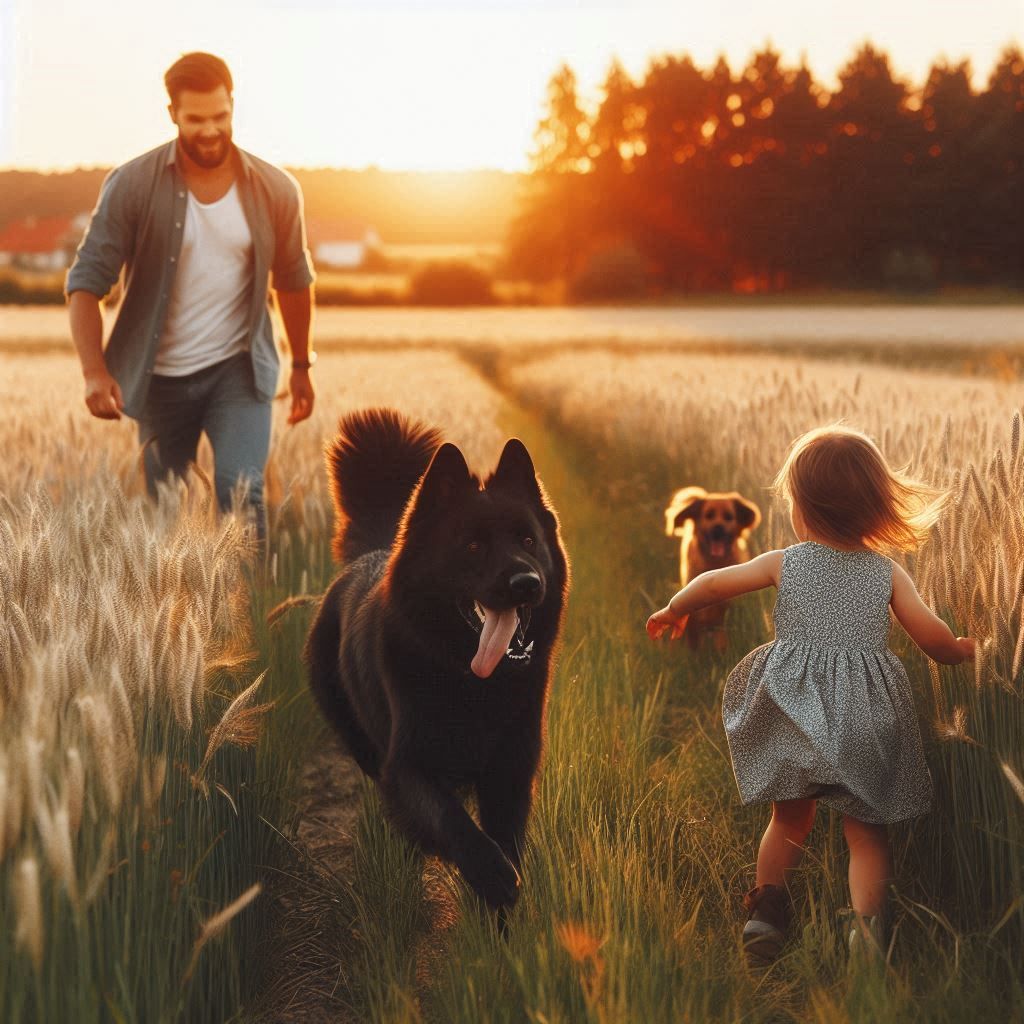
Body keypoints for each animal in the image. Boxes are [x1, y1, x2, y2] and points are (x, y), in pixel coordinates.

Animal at [307, 407, 573, 913]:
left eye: (528, 541)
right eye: (472, 546)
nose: (526, 583)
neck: (473, 684)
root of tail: (373, 550)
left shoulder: (511, 769)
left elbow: (505, 839)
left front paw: (501, 919)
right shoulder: (408, 767)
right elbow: (452, 821)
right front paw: (492, 876)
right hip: (363, 744)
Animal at [663, 485, 761, 647]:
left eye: (729, 517)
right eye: (708, 515)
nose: (718, 527)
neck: (714, 563)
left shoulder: (726, 611)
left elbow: (722, 639)